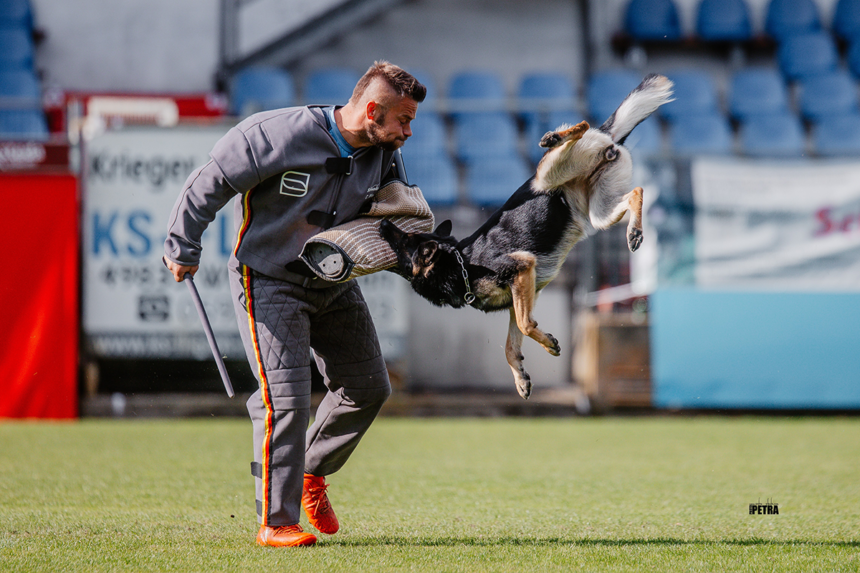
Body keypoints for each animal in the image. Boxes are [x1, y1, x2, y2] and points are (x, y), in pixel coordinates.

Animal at [382, 72, 672, 398]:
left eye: (404, 241)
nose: (383, 225)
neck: (460, 264)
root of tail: (607, 137)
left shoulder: (521, 268)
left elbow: (524, 325)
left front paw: (548, 343)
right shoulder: (519, 294)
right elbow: (511, 345)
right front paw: (521, 378)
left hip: (547, 177)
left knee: (581, 128)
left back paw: (555, 137)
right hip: (600, 212)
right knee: (636, 191)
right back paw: (634, 230)